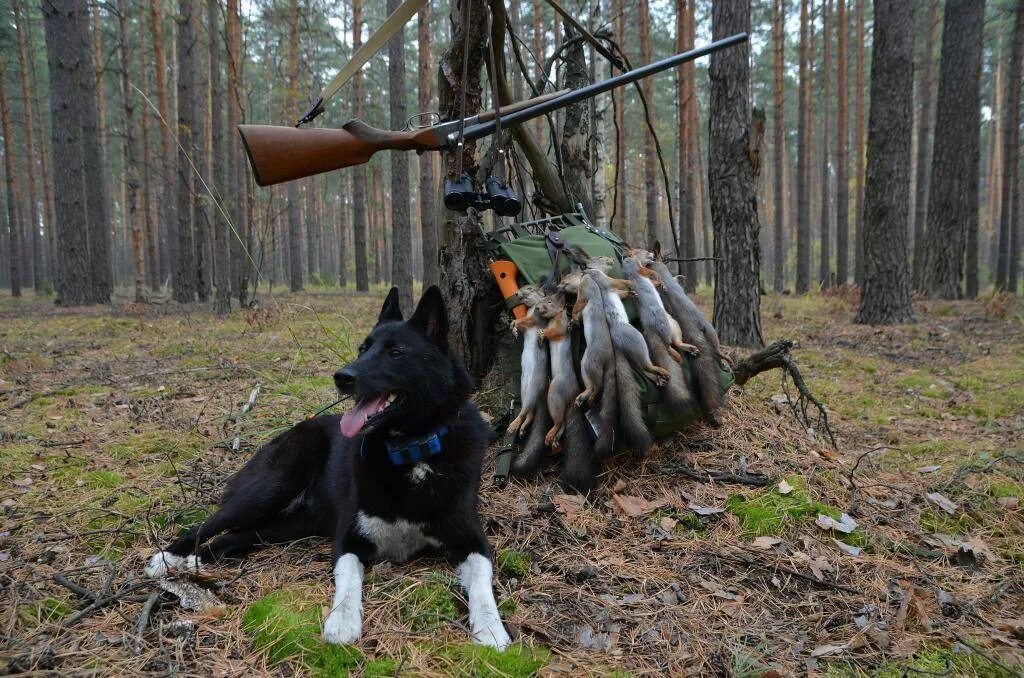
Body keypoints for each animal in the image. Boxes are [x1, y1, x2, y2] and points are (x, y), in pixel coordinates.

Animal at [144, 288, 512, 655]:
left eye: (396, 352)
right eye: (363, 348)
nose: (342, 377)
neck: (412, 453)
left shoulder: (472, 540)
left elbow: (483, 584)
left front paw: (492, 629)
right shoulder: (349, 538)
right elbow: (348, 583)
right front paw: (343, 622)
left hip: (295, 523)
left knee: (241, 534)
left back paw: (199, 561)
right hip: (272, 487)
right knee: (210, 523)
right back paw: (167, 558)